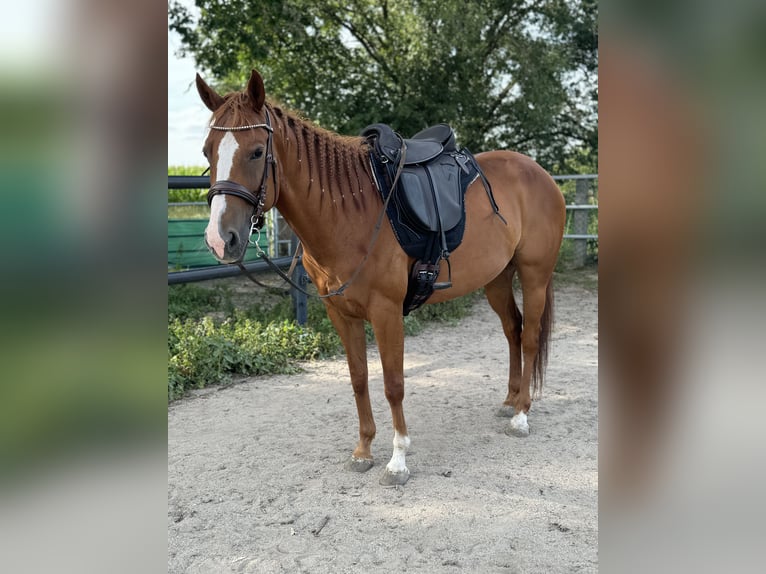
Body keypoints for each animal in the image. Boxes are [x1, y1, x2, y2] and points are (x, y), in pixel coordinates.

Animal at [195, 69, 565, 486]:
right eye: (208, 151)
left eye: (257, 151)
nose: (220, 239)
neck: (347, 214)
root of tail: (540, 174)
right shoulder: (340, 313)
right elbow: (358, 379)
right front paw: (363, 451)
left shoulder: (386, 312)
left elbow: (393, 385)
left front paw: (398, 460)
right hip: (498, 279)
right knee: (513, 331)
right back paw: (509, 401)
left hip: (534, 275)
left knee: (530, 337)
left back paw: (521, 416)